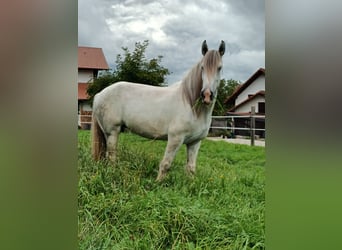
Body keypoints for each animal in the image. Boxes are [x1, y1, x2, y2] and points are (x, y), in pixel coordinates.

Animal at [91, 40, 226, 182]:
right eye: (202, 67)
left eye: (219, 68)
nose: (206, 95)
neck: (192, 106)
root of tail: (99, 95)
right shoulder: (175, 139)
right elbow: (166, 164)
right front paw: (158, 183)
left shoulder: (194, 142)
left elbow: (191, 168)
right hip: (112, 132)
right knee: (111, 156)